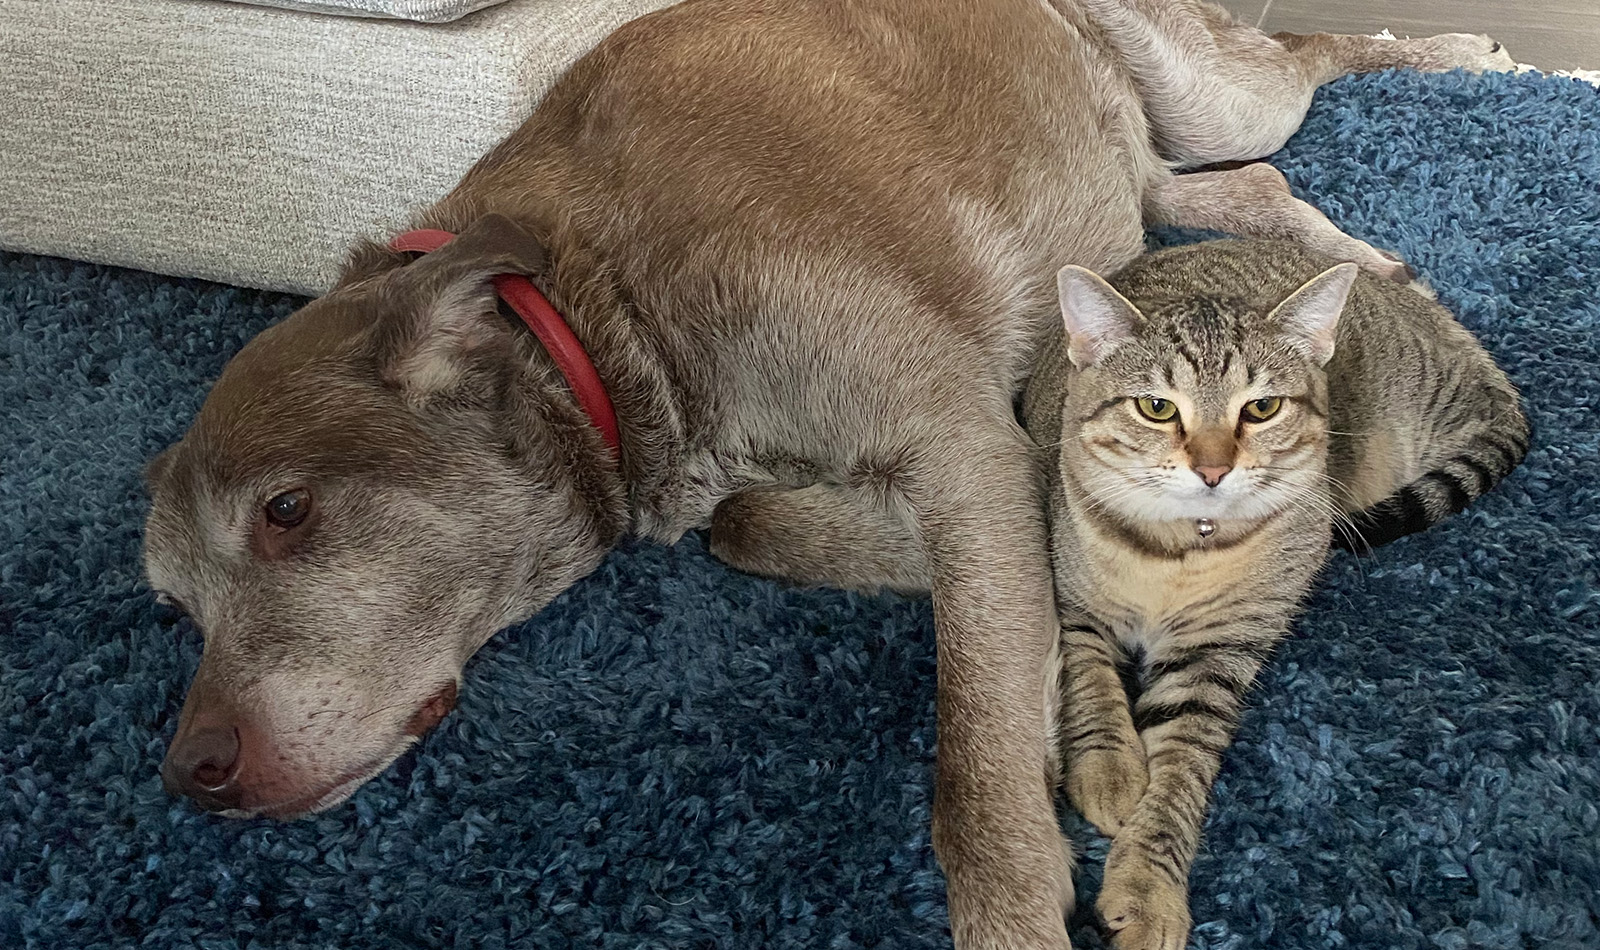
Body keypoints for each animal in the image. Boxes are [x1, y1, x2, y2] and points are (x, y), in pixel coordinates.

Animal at [1017, 238, 1529, 946]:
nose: (1212, 469)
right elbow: (1089, 682)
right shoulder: (1074, 604)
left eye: (1261, 408)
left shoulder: (1216, 657)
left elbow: (1180, 774)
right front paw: (1110, 768)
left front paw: (1148, 888)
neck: (1182, 549)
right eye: (1157, 407)